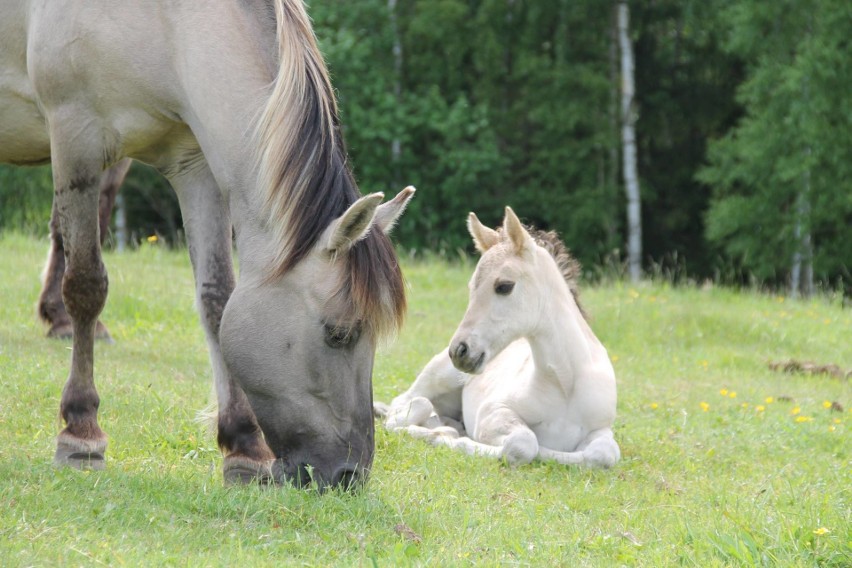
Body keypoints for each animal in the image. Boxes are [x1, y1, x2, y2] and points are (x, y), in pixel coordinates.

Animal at [0, 0, 414, 488]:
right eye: (339, 333)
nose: (350, 476)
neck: (162, 23)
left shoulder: (194, 166)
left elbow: (217, 299)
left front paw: (244, 448)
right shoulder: (76, 138)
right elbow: (86, 286)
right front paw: (81, 432)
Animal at [382, 206, 624, 468]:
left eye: (504, 286)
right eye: (471, 287)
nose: (459, 351)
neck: (564, 383)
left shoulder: (601, 429)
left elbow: (603, 454)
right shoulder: (494, 412)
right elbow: (524, 444)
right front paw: (452, 440)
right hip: (437, 377)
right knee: (405, 405)